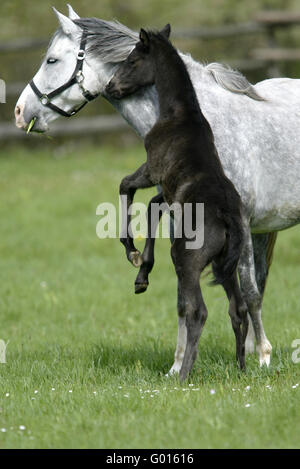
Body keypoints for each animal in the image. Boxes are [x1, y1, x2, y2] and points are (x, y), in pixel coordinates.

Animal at [105, 24, 248, 380]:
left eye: (131, 60)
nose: (110, 86)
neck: (182, 116)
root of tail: (227, 217)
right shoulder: (168, 192)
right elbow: (153, 208)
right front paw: (142, 274)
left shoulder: (150, 170)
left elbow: (125, 187)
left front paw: (131, 250)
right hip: (227, 266)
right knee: (238, 309)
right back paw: (241, 367)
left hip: (187, 260)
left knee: (197, 310)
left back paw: (183, 374)